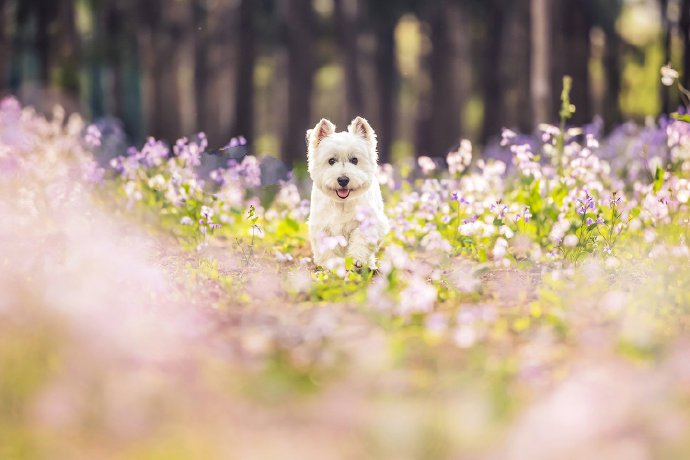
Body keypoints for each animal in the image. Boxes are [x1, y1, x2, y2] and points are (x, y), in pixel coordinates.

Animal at [306, 115, 388, 272]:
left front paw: (356, 259)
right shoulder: (322, 227)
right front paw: (332, 265)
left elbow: (361, 238)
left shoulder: (369, 222)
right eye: (331, 161)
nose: (343, 180)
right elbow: (328, 250)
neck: (342, 203)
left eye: (354, 160)